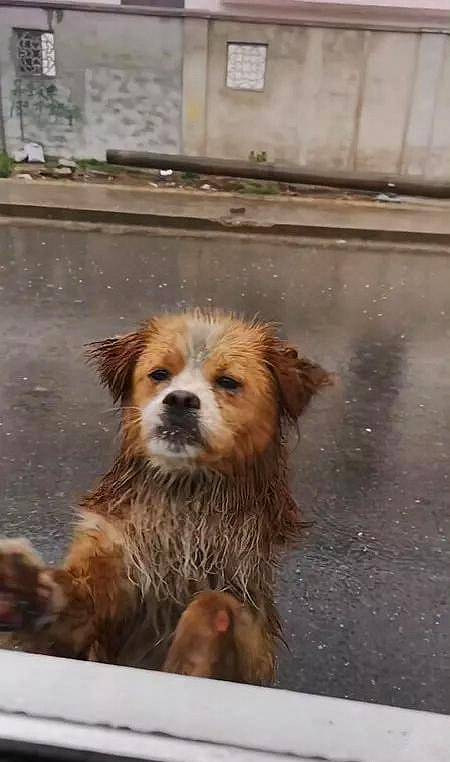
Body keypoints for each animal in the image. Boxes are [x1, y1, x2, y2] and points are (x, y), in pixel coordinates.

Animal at [0, 310, 330, 684]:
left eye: (228, 382)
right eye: (160, 374)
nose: (181, 399)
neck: (183, 503)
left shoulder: (252, 632)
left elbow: (213, 604)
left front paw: (189, 659)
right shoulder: (113, 567)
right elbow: (73, 599)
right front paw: (22, 588)